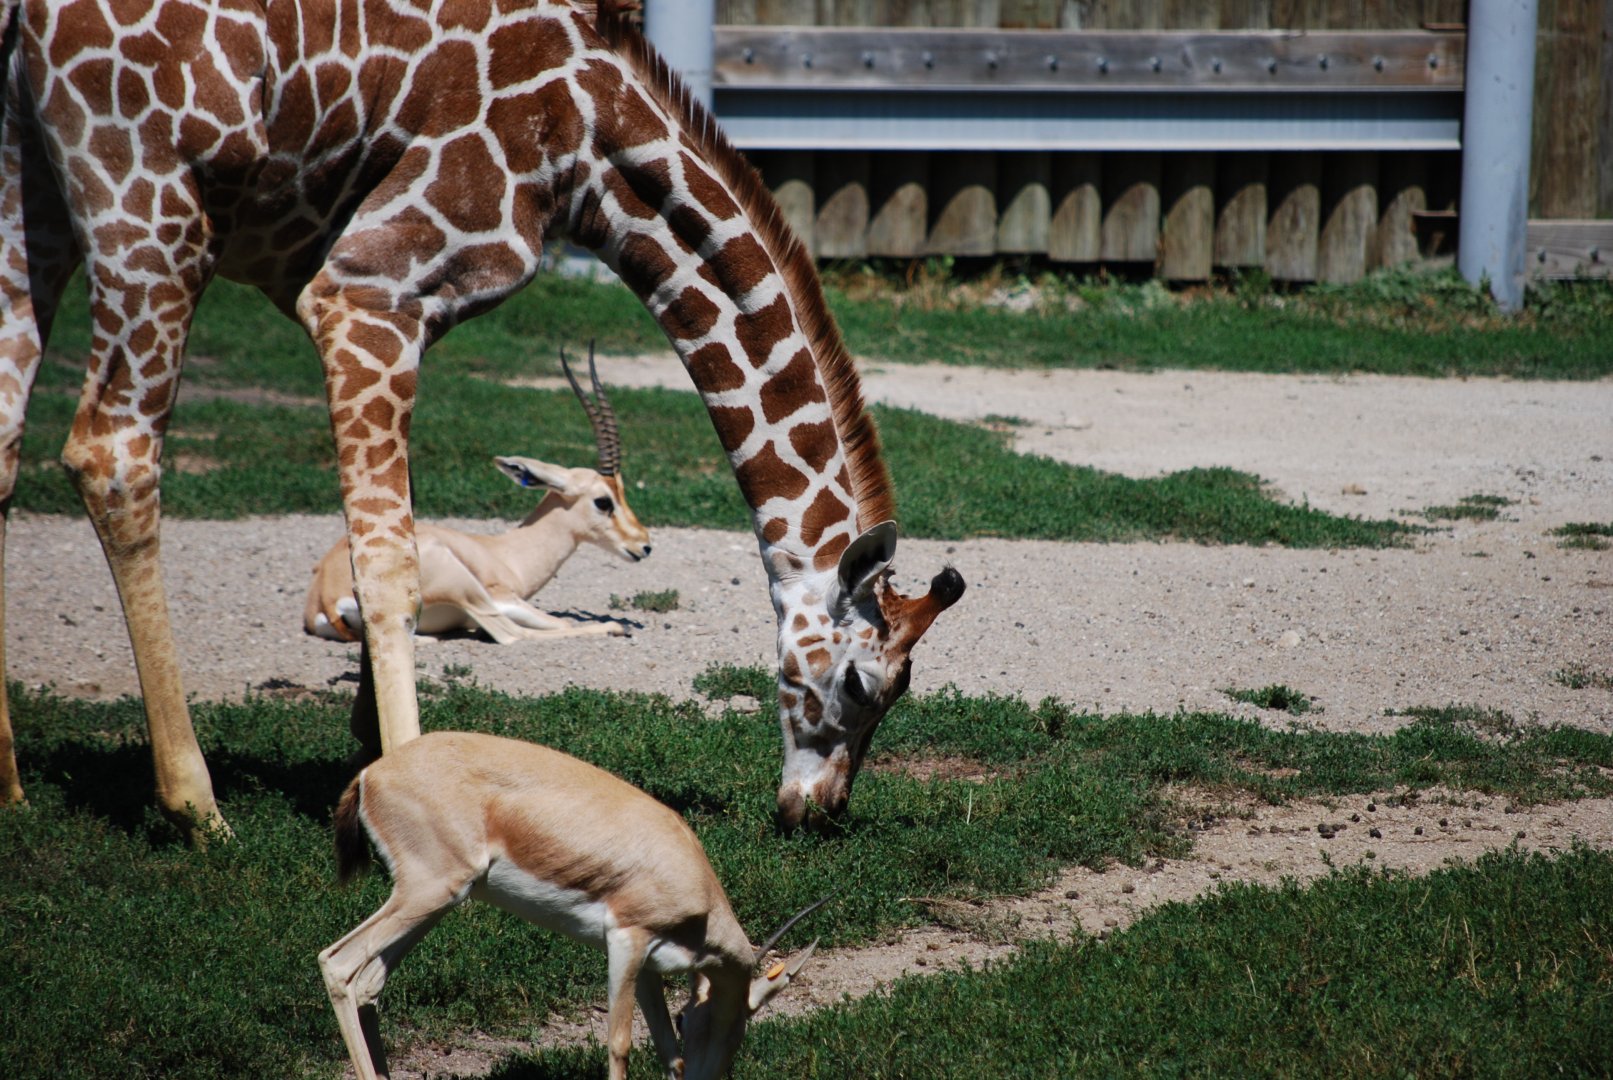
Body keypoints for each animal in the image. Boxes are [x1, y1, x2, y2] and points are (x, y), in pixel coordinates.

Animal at [304, 346, 651, 645]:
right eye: (603, 501)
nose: (644, 545)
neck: (504, 553)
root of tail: (325, 595)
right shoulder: (501, 596)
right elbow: (558, 621)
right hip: (465, 588)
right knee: (512, 635)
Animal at [320, 730, 820, 1080]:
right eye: (732, 1030)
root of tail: (371, 775)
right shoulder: (625, 939)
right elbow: (620, 1043)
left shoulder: (647, 966)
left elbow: (668, 1052)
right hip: (428, 892)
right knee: (338, 964)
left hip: (435, 902)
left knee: (371, 983)